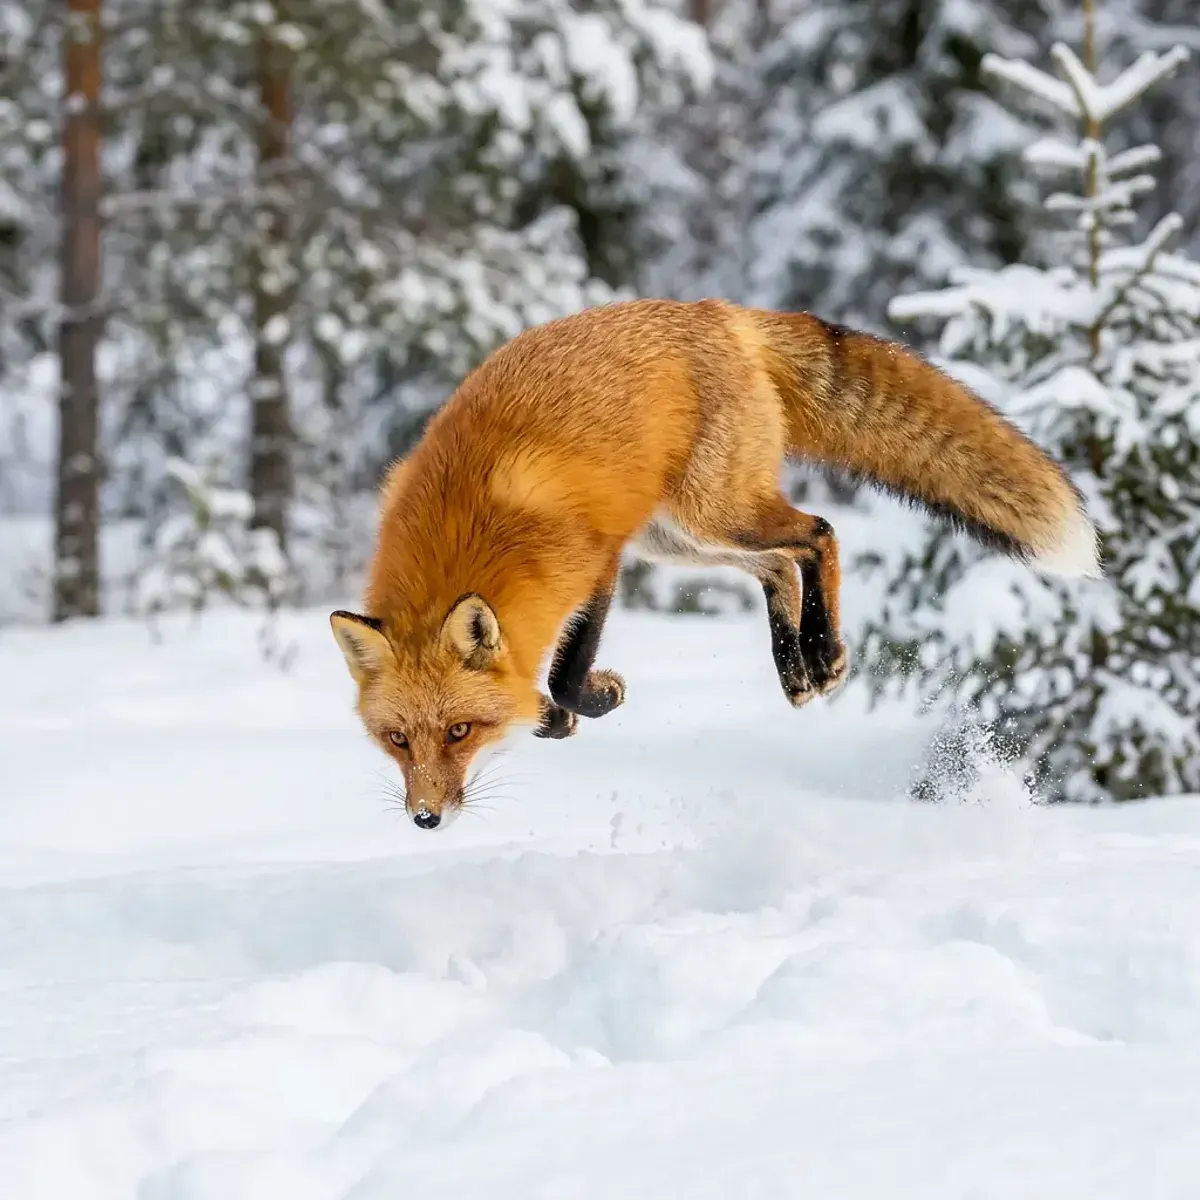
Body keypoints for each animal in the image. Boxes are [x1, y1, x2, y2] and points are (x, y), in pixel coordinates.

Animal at [329, 297, 1100, 829]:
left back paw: (824, 653)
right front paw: (555, 717)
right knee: (778, 565)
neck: (467, 531)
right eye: (397, 739)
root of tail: (717, 311)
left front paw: (584, 703)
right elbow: (539, 684)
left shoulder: (599, 560)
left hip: (712, 511)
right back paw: (796, 669)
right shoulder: (608, 560)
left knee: (818, 534)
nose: (426, 818)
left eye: (460, 732)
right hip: (680, 537)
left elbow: (564, 672)